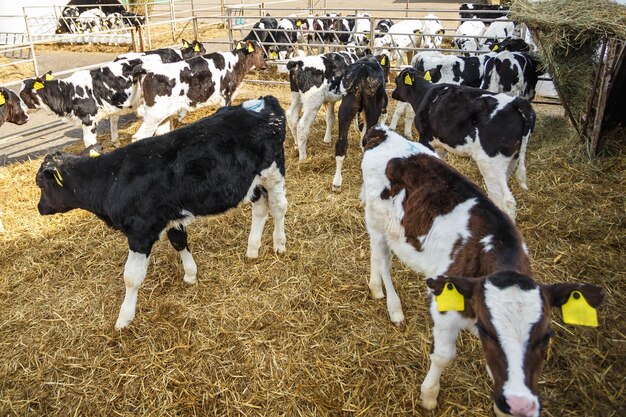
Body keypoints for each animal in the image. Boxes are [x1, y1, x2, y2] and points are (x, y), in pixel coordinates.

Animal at [35, 96, 286, 330]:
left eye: (41, 184)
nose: (39, 208)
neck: (113, 178)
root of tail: (263, 102)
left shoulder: (140, 232)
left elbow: (131, 278)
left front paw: (124, 318)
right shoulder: (170, 216)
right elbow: (179, 241)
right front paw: (190, 275)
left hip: (273, 172)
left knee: (279, 207)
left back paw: (279, 244)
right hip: (251, 183)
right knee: (261, 207)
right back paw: (252, 249)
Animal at [130, 39, 266, 139]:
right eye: (261, 52)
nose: (265, 65)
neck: (235, 63)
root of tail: (148, 69)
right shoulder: (226, 94)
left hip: (163, 114)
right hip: (154, 113)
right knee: (139, 136)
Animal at [330, 54, 388, 190]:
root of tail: (363, 70)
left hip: (346, 108)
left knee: (341, 143)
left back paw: (337, 182)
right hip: (373, 110)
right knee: (368, 138)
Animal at [358, 124, 604, 416]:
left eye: (546, 337)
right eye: (488, 332)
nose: (520, 404)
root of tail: (383, 133)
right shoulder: (444, 304)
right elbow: (443, 356)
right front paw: (429, 395)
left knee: (375, 252)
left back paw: (375, 287)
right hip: (377, 218)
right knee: (383, 258)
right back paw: (393, 306)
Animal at [390, 66, 532, 219]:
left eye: (397, 81)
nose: (393, 93)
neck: (424, 94)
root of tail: (516, 102)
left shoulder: (425, 138)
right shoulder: (440, 145)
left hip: (491, 163)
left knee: (505, 201)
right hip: (510, 161)